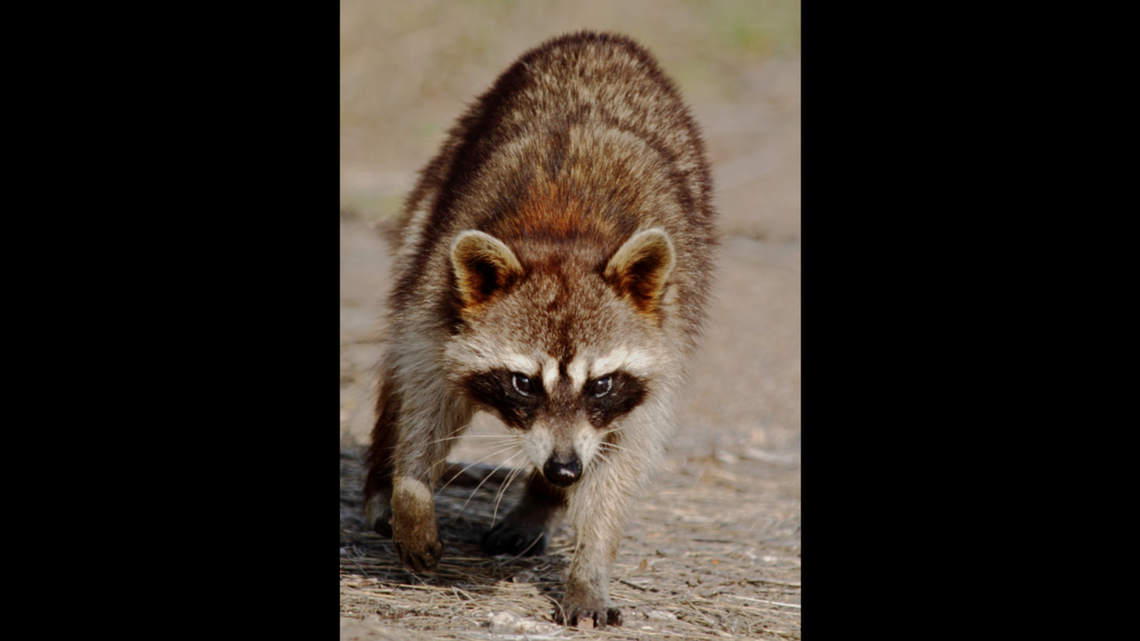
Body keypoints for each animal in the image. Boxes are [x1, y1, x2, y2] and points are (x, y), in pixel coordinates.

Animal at [363, 31, 716, 628]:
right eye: (524, 383)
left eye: (601, 384)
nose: (563, 468)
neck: (564, 231)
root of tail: (600, 38)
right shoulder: (438, 295)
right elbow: (426, 397)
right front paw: (410, 491)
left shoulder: (665, 340)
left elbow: (622, 459)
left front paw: (590, 566)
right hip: (436, 188)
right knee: (399, 370)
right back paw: (380, 482)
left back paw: (541, 503)